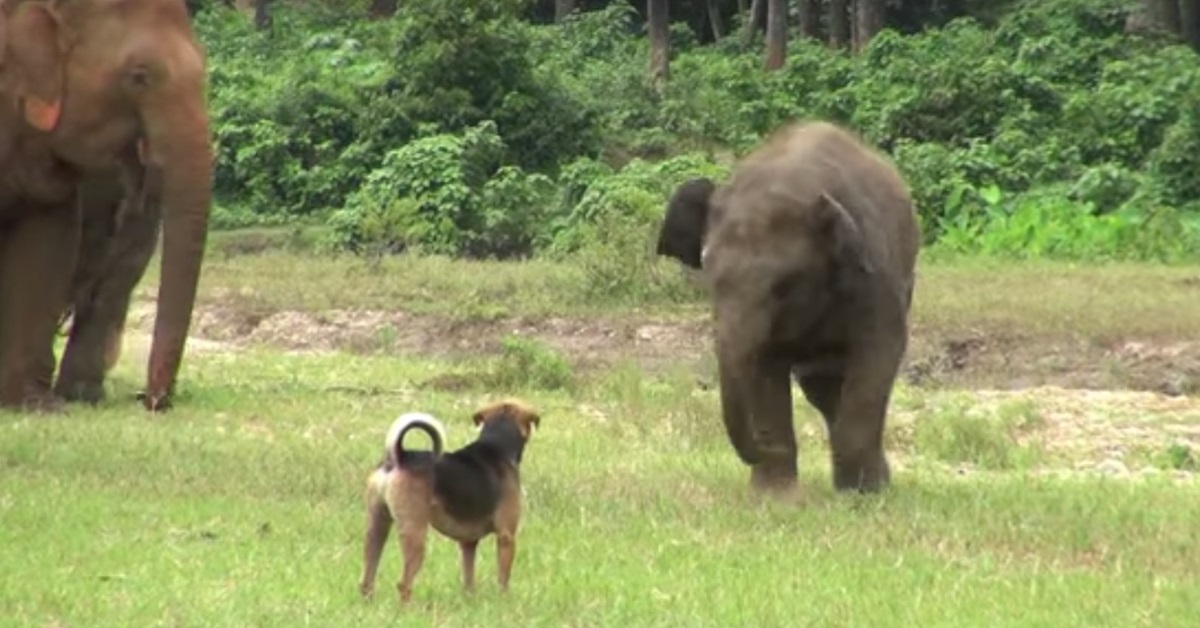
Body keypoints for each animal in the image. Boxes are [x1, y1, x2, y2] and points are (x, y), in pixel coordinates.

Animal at [357, 398, 542, 605]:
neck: (496, 447)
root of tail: (398, 458)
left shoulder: (468, 542)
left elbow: (468, 577)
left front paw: (470, 602)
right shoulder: (506, 536)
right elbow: (503, 578)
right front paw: (503, 601)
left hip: (376, 526)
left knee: (367, 579)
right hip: (415, 532)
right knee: (404, 583)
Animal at [657, 121, 916, 497]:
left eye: (783, 286)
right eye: (710, 281)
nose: (755, 450)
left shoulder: (874, 277)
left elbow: (880, 351)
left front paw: (864, 496)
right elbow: (765, 366)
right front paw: (774, 499)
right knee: (820, 386)